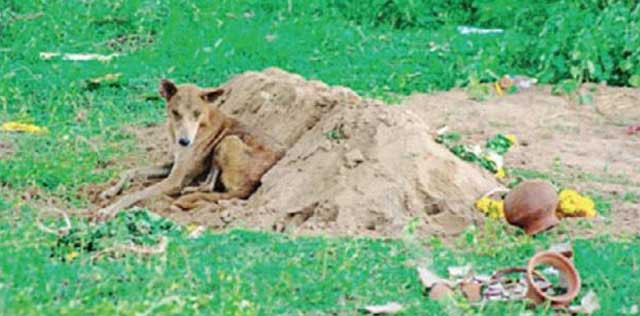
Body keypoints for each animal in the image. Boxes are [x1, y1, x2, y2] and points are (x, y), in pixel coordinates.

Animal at [94, 78, 282, 220]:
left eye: (197, 113)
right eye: (175, 113)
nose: (184, 142)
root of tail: (253, 185)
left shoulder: (174, 180)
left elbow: (135, 194)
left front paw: (110, 209)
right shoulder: (172, 165)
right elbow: (131, 171)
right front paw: (111, 191)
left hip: (228, 141)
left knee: (210, 187)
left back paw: (190, 190)